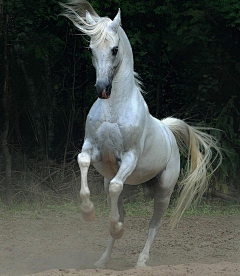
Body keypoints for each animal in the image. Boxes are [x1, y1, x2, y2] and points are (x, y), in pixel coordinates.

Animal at [60, 0, 221, 268]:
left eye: (114, 49)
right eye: (91, 49)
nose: (102, 89)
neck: (115, 108)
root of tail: (167, 130)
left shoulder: (129, 157)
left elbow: (117, 190)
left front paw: (116, 228)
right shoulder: (93, 149)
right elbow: (84, 164)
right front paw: (89, 212)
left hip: (164, 191)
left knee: (154, 224)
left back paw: (141, 261)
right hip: (125, 182)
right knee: (120, 206)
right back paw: (103, 260)